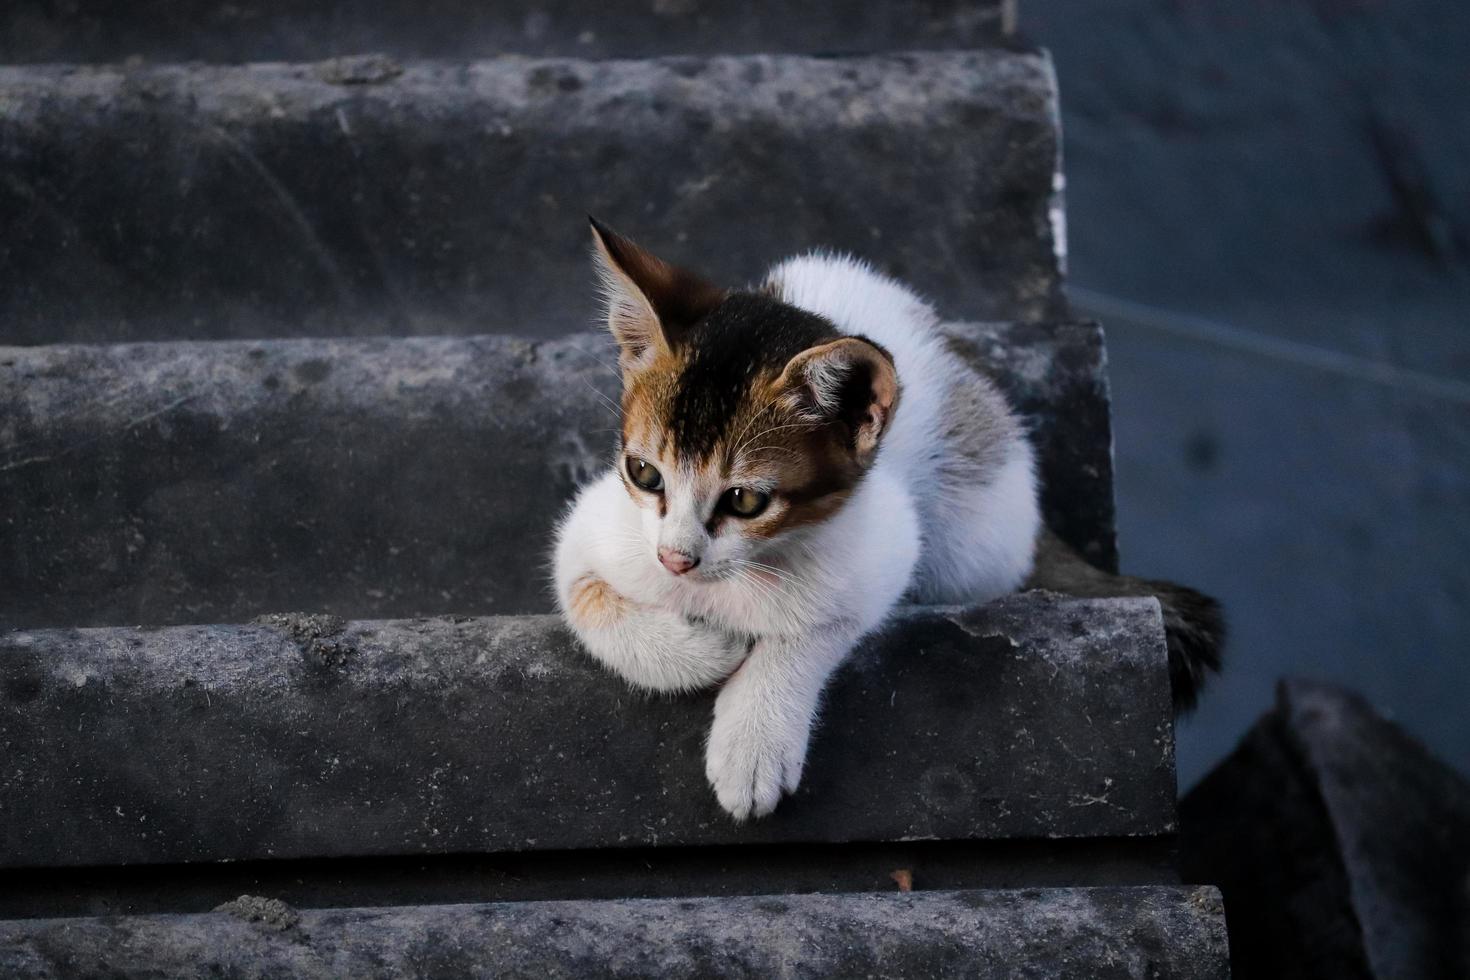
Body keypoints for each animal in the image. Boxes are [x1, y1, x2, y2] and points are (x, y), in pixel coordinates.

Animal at [552, 220, 1217, 822]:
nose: (675, 560)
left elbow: (818, 625)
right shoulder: (598, 529)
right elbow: (583, 596)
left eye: (744, 502)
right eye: (644, 473)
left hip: (971, 544)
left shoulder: (882, 549)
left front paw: (754, 738)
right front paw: (706, 653)